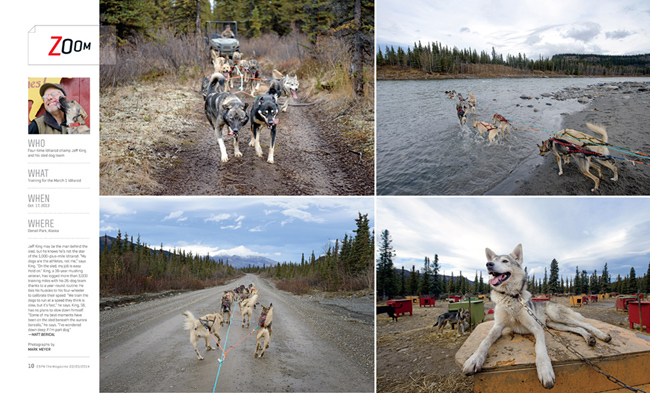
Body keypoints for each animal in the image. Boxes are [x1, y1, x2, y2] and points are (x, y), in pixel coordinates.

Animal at [460, 243, 608, 388]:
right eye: (493, 260)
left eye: (505, 261)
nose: (488, 264)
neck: (512, 297)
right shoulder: (498, 326)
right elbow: (485, 341)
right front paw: (474, 359)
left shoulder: (537, 328)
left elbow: (540, 348)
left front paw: (545, 370)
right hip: (555, 325)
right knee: (577, 328)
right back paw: (589, 338)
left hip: (557, 316)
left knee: (584, 323)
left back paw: (602, 335)